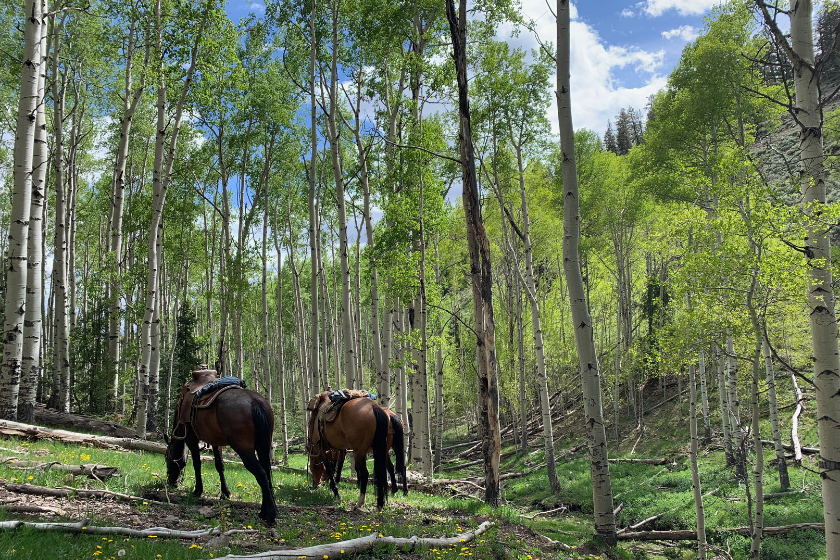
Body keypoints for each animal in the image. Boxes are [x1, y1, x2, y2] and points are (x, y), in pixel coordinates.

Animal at [166, 368, 278, 524]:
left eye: (166, 458)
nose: (171, 482)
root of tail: (255, 402)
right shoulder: (215, 441)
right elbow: (220, 465)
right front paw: (225, 493)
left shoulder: (191, 439)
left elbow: (197, 464)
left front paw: (198, 490)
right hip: (263, 447)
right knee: (266, 473)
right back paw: (263, 511)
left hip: (245, 450)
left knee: (261, 474)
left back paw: (271, 514)